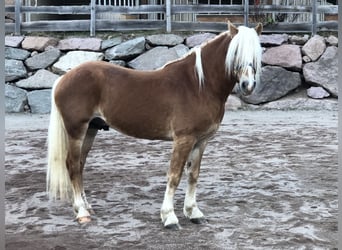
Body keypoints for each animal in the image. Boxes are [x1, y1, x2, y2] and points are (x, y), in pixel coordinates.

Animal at [46, 22, 264, 229]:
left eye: (256, 53)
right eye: (236, 52)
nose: (248, 85)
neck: (199, 85)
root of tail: (64, 78)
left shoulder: (201, 141)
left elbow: (193, 175)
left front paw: (193, 213)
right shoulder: (184, 139)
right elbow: (174, 176)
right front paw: (169, 217)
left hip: (91, 130)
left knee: (80, 165)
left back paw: (86, 207)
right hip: (76, 130)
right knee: (72, 165)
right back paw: (82, 213)